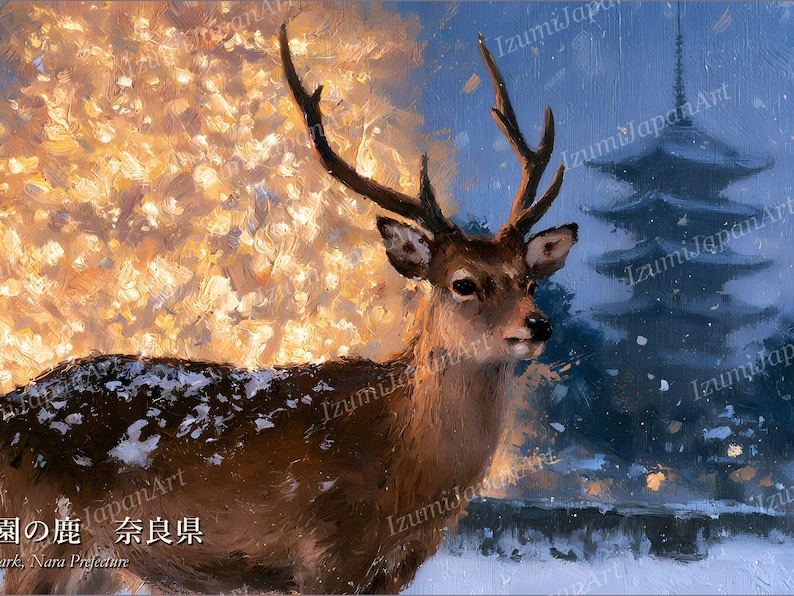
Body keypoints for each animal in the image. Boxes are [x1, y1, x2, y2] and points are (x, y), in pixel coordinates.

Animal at [0, 25, 577, 595]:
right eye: (463, 283)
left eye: (529, 280)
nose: (539, 325)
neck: (406, 470)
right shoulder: (329, 556)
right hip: (36, 543)